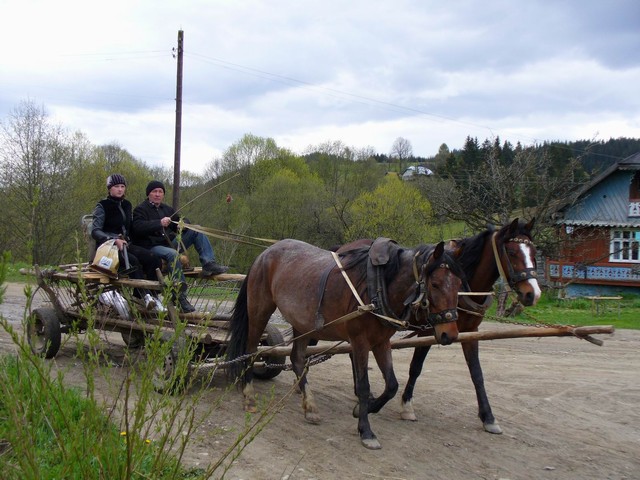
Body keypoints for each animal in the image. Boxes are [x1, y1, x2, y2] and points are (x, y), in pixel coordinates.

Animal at [226, 238, 464, 448]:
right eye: (435, 284)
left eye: (459, 284)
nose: (449, 334)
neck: (378, 284)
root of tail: (264, 254)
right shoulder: (359, 341)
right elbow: (364, 385)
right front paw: (366, 431)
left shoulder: (381, 342)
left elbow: (392, 385)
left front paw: (363, 410)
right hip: (260, 310)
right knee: (251, 350)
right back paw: (249, 397)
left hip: (302, 322)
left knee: (297, 359)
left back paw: (310, 406)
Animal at [400, 219, 540, 434]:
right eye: (512, 252)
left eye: (534, 253)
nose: (533, 294)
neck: (463, 291)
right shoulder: (428, 331)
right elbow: (416, 366)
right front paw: (407, 405)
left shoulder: (470, 332)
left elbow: (477, 373)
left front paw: (488, 417)